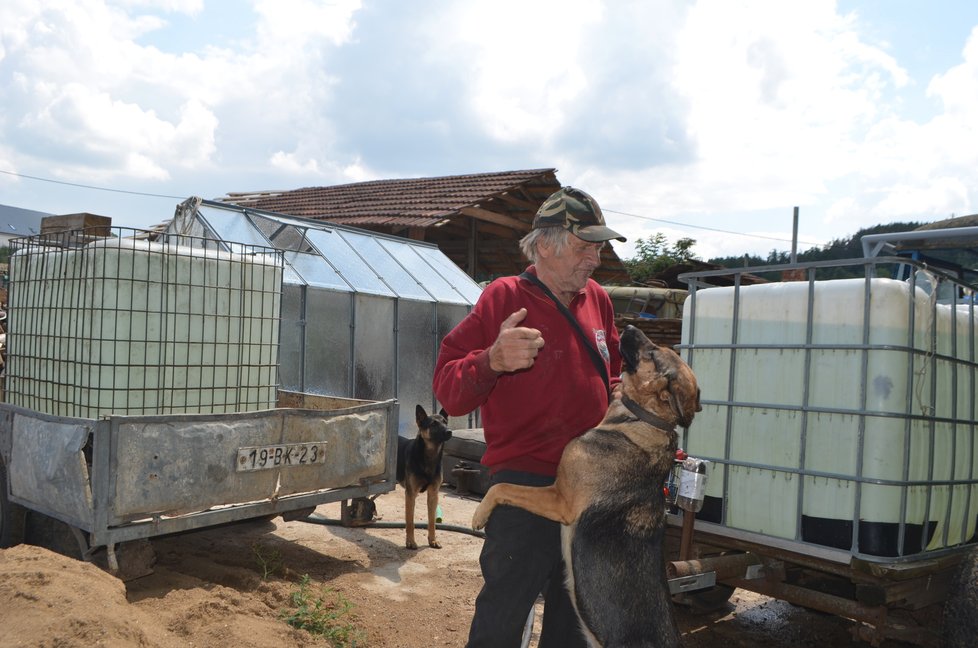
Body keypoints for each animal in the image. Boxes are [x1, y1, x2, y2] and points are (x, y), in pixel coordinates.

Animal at [394, 404, 452, 548]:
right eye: (433, 424)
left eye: (445, 422)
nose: (449, 432)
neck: (429, 457)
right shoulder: (410, 495)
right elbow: (410, 521)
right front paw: (410, 542)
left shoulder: (433, 494)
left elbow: (432, 522)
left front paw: (433, 540)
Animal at [468, 326, 696, 648]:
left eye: (652, 352)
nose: (628, 327)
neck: (642, 419)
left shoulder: (559, 501)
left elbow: (501, 487)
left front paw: (480, 514)